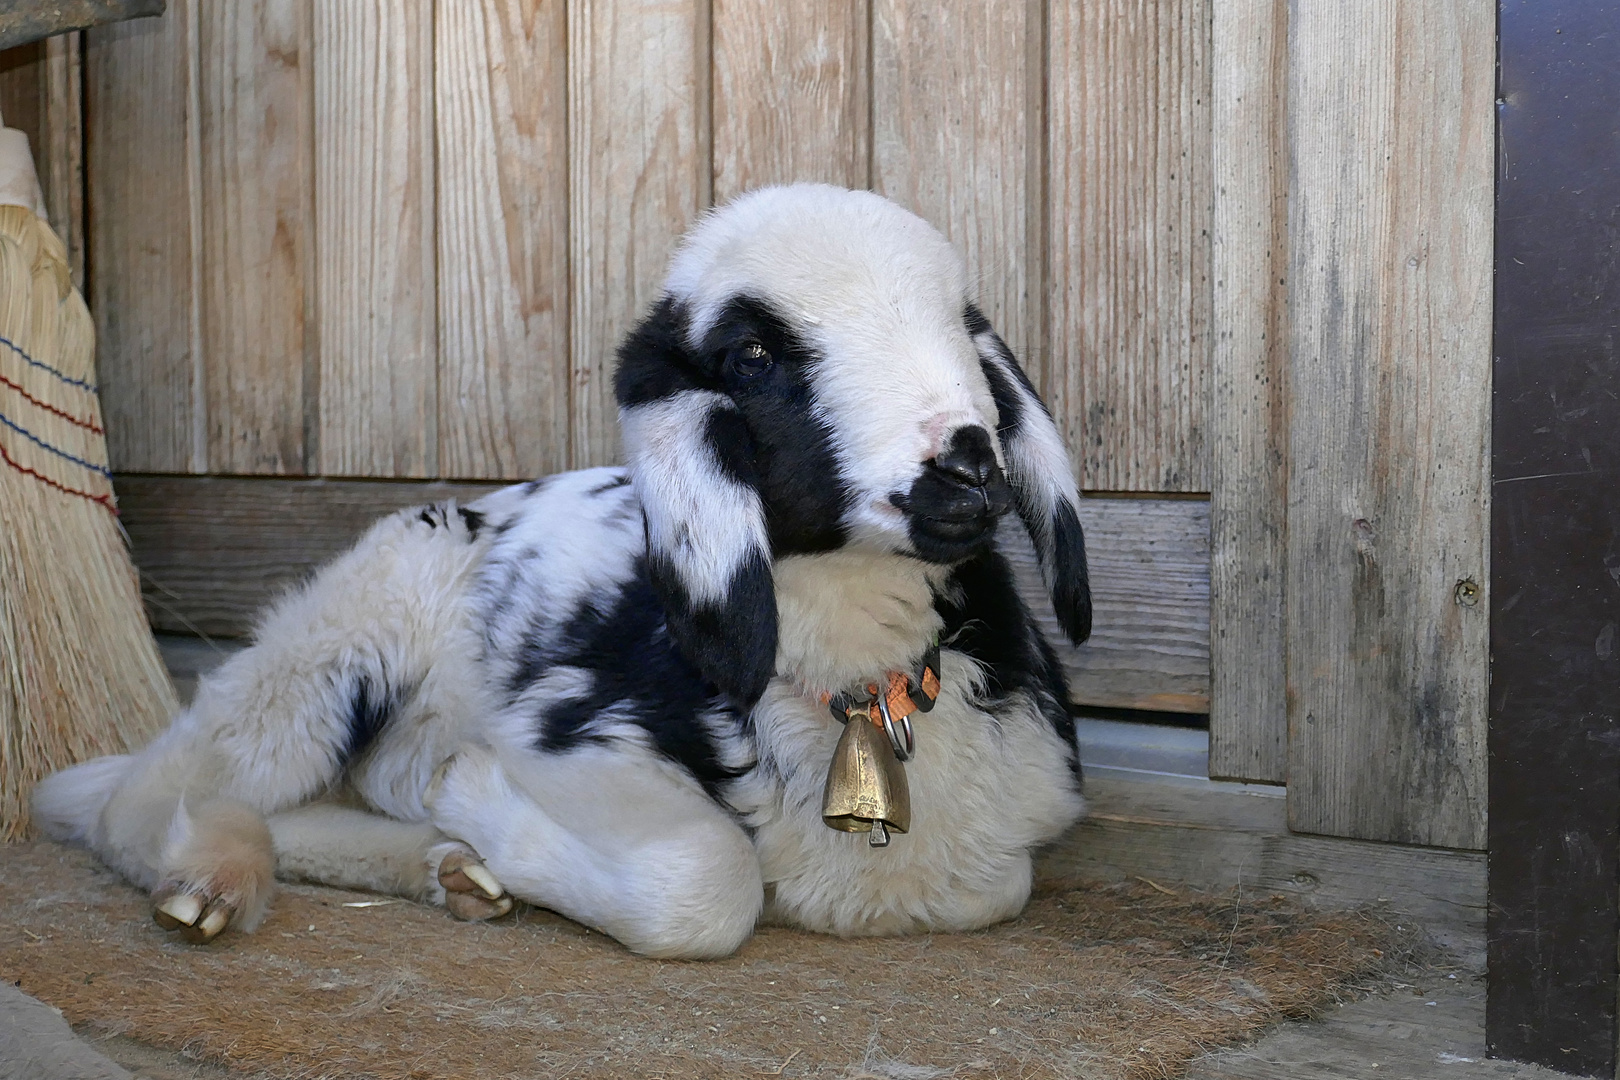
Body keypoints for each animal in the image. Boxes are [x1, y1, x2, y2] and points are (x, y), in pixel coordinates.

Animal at [38, 186, 1095, 965]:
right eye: (752, 355)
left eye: (964, 326)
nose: (969, 465)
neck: (860, 688)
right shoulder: (570, 730)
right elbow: (707, 881)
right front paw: (478, 796)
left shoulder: (1007, 835)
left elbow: (994, 881)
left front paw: (466, 828)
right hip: (334, 644)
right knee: (147, 794)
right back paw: (218, 881)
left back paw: (445, 868)